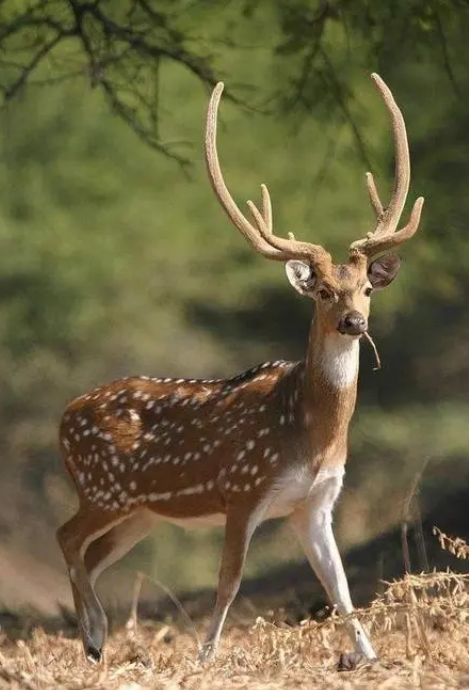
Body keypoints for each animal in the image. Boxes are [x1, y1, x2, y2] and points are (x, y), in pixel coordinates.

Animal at [57, 74, 424, 668]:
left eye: (367, 288)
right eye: (324, 291)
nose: (354, 321)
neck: (310, 433)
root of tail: (63, 417)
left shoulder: (316, 503)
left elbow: (340, 585)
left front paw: (367, 657)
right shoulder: (243, 489)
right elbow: (228, 581)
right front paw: (206, 656)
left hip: (142, 512)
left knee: (91, 555)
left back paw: (97, 640)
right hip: (101, 488)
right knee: (67, 538)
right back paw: (92, 637)